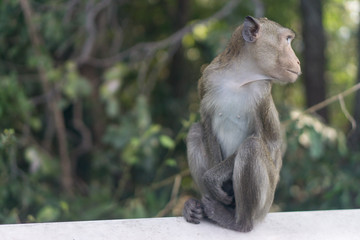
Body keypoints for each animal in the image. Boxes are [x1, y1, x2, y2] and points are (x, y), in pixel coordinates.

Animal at [183, 15, 300, 232]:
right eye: (287, 40)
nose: (297, 60)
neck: (238, 79)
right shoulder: (207, 79)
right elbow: (207, 127)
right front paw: (212, 183)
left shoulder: (262, 93)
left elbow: (270, 142)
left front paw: (213, 178)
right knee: (195, 131)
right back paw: (197, 207)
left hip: (266, 201)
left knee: (252, 147)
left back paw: (237, 221)